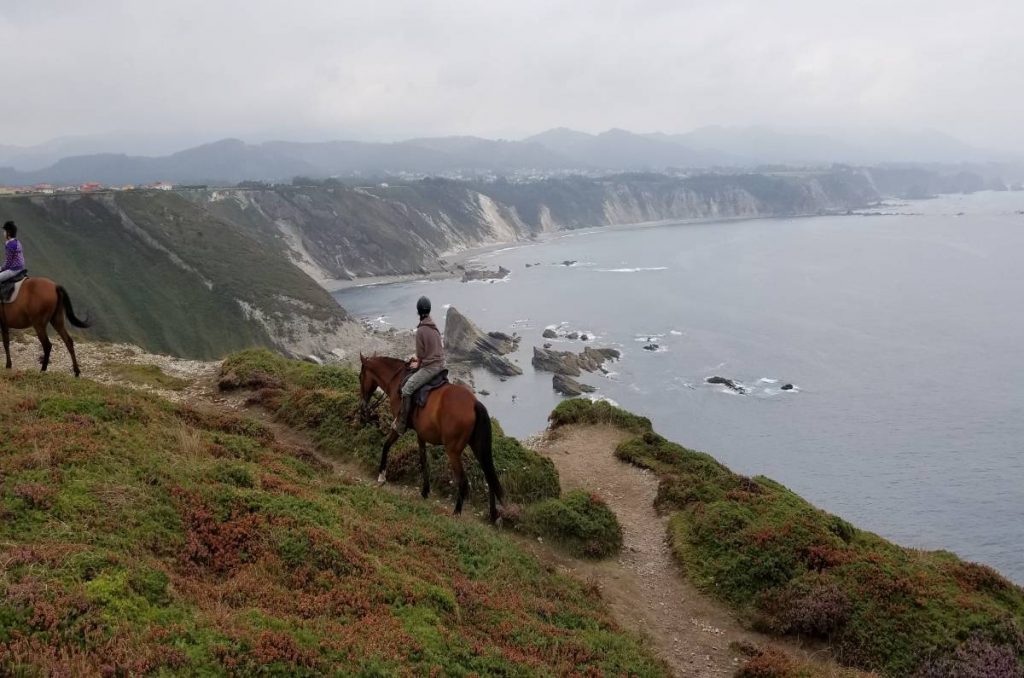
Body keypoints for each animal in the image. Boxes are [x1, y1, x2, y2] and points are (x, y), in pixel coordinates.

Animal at [358, 356, 505, 524]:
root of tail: (474, 403)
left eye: (360, 377)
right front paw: (425, 490)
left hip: (453, 451)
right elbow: (423, 460)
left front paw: (382, 475)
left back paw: (457, 512)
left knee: (463, 480)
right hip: (477, 446)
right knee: (488, 476)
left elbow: (386, 446)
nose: (363, 405)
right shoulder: (421, 434)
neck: (397, 379)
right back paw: (493, 515)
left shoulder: (399, 426)